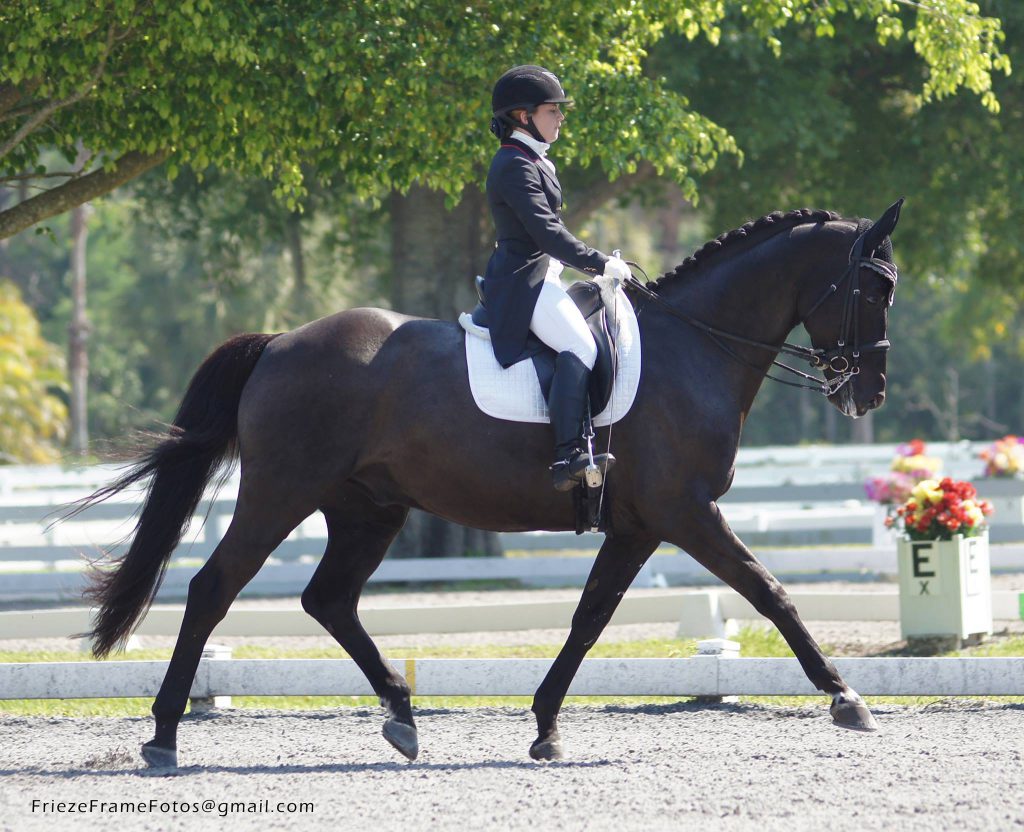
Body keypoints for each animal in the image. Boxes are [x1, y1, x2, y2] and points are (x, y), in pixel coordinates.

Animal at [79, 201, 905, 766]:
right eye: (875, 287)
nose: (868, 393)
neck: (694, 345)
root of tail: (280, 341)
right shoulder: (687, 512)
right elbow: (770, 592)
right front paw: (846, 696)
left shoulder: (638, 525)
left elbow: (590, 618)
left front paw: (545, 727)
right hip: (281, 493)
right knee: (212, 590)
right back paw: (164, 735)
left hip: (368, 509)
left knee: (330, 600)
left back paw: (402, 717)